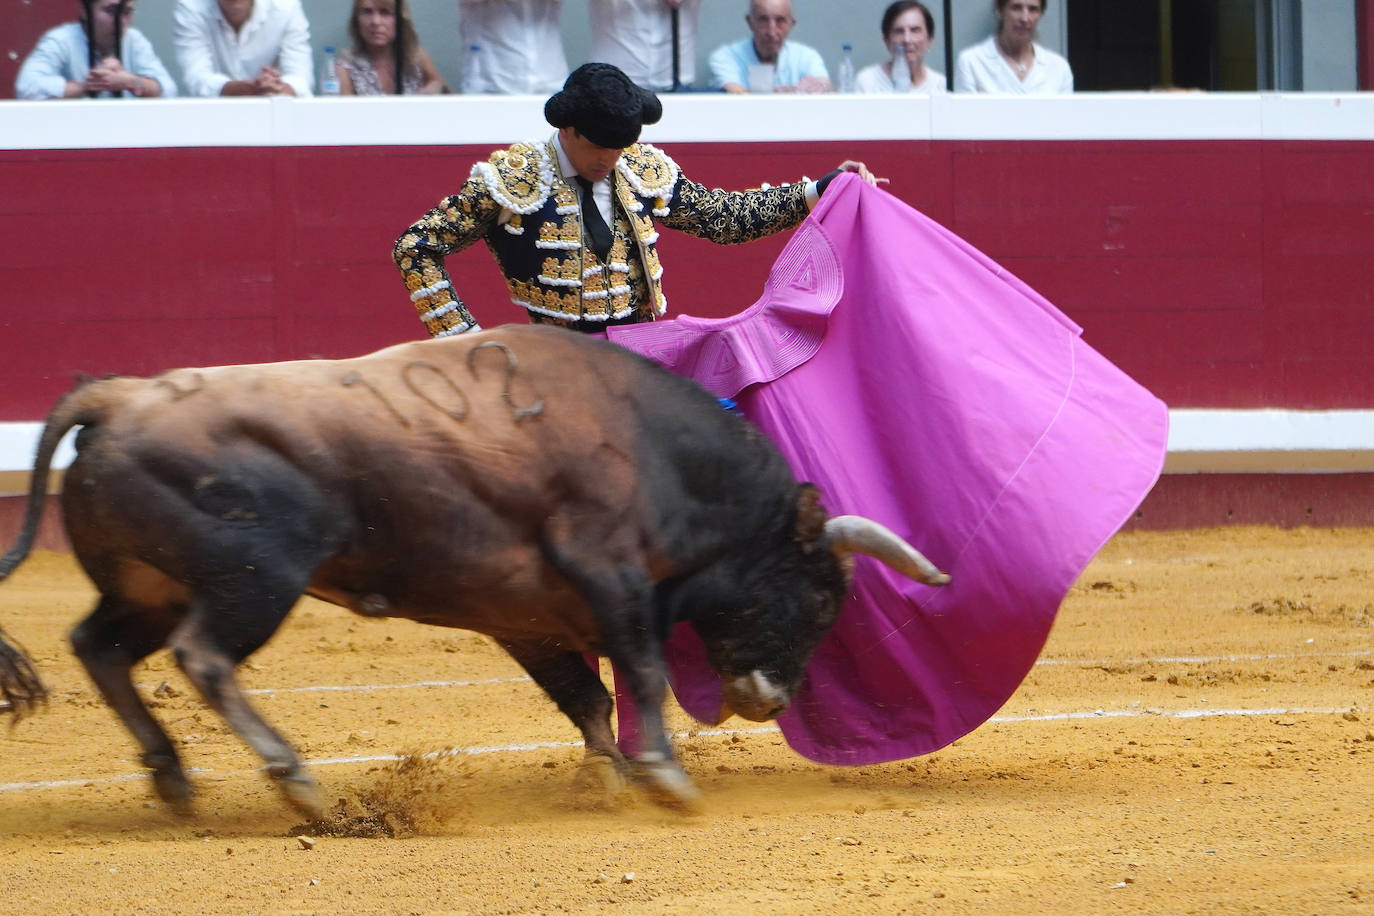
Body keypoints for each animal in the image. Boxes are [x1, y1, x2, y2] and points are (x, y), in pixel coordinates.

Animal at [0, 325, 945, 813]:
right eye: (821, 598)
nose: (771, 701)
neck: (661, 452)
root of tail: (117, 395)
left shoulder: (525, 616)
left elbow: (586, 695)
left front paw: (606, 776)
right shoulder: (610, 574)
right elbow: (639, 672)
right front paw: (666, 776)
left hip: (148, 588)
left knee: (99, 648)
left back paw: (174, 778)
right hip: (252, 577)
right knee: (203, 657)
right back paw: (294, 778)